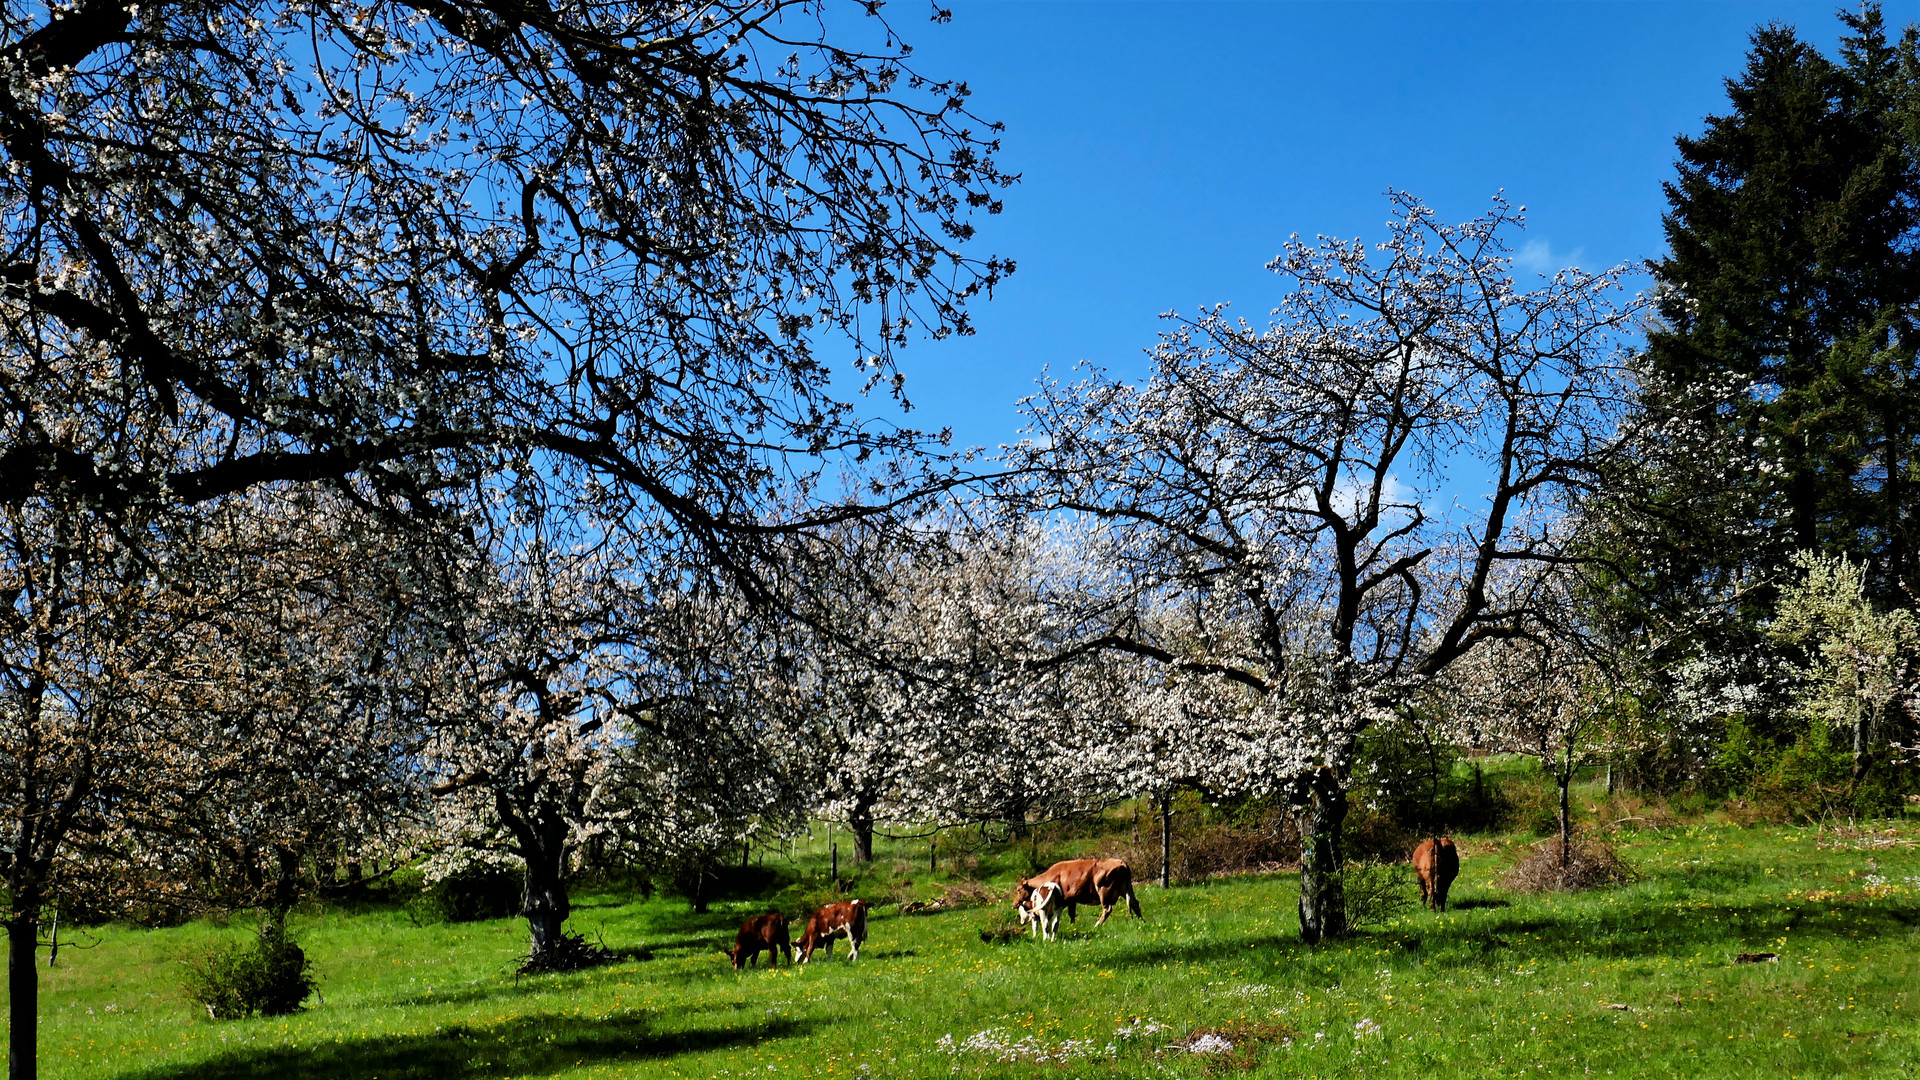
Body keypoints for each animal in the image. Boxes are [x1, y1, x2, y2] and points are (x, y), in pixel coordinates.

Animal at [1013, 857, 1144, 926]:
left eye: (1019, 890)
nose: (1013, 904)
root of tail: (1121, 862)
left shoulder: (1067, 899)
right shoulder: (1071, 900)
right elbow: (1072, 915)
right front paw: (1072, 926)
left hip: (1104, 891)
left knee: (1107, 909)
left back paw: (1097, 925)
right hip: (1126, 889)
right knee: (1135, 903)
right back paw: (1142, 921)